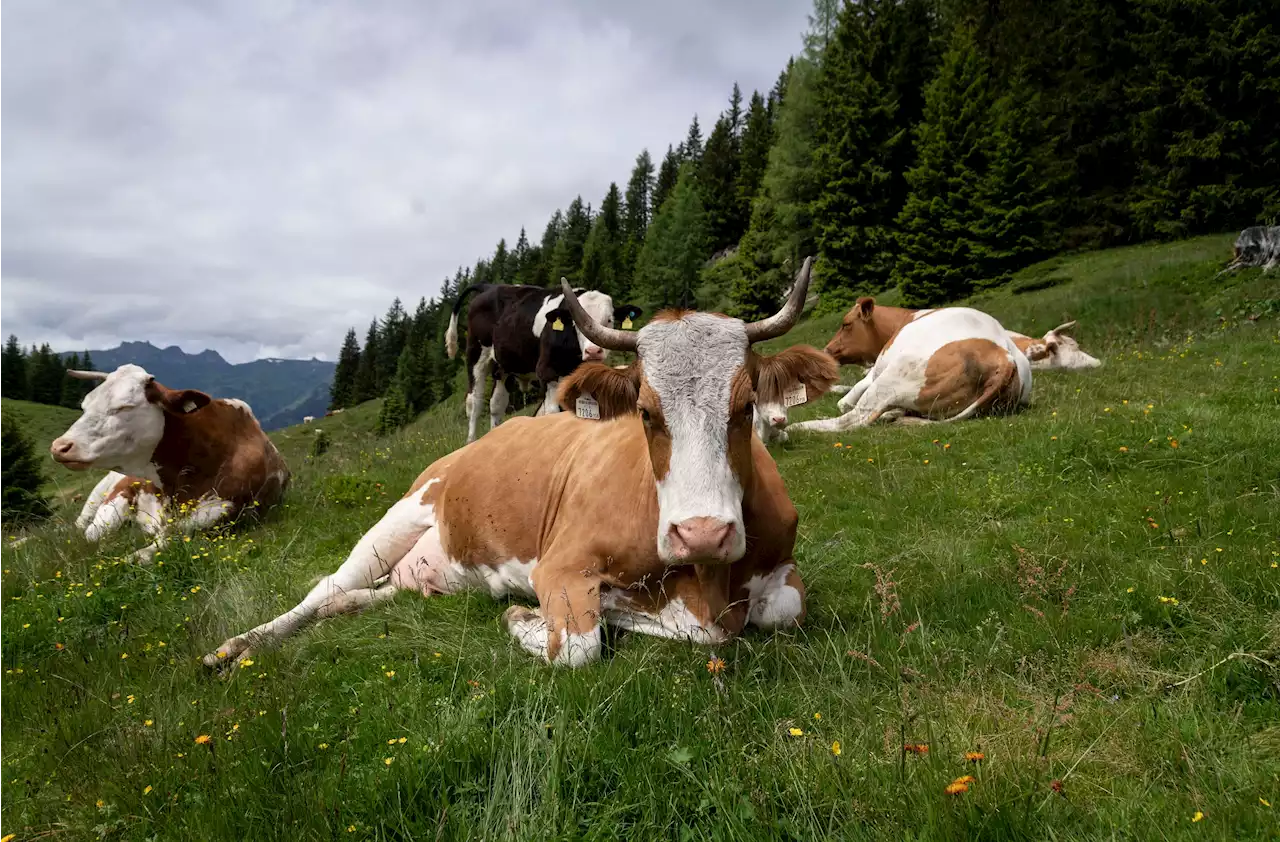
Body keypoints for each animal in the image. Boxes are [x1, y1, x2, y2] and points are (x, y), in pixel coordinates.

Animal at [49, 363, 290, 560]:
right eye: (84, 406)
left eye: (125, 406)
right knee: (79, 525)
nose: (60, 447)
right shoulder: (122, 492)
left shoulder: (224, 509)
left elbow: (143, 553)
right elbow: (91, 535)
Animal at [450, 278, 645, 442]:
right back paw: (471, 442)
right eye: (575, 322)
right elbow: (553, 413)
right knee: (474, 402)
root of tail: (488, 286)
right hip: (476, 354)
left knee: (497, 403)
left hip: (502, 366)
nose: (593, 351)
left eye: (610, 320)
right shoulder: (546, 371)